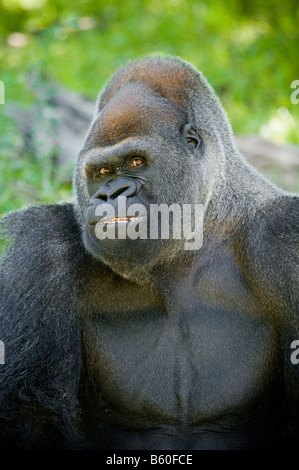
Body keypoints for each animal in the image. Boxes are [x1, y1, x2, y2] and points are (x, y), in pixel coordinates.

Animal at [0, 56, 299, 452]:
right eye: (102, 171)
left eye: (137, 162)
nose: (110, 194)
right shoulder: (41, 249)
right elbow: (26, 412)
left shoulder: (285, 241)